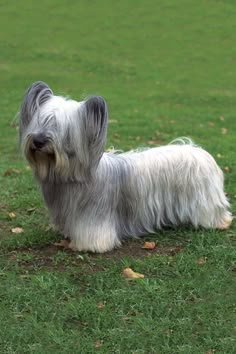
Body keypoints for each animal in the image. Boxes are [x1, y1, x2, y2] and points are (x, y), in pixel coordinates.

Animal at [18, 81, 232, 253]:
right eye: (40, 121)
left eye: (61, 128)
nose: (38, 141)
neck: (68, 176)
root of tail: (199, 151)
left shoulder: (95, 217)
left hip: (205, 199)